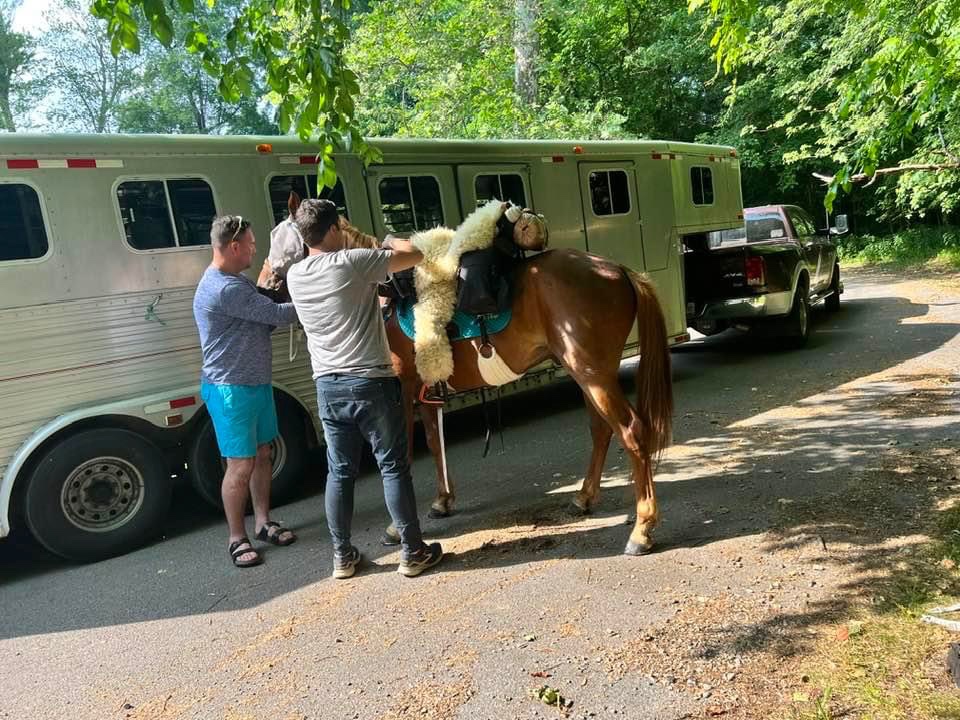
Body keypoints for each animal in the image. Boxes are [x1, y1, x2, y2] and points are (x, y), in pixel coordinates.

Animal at [259, 193, 673, 555]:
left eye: (282, 239)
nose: (264, 286)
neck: (385, 289)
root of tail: (616, 269)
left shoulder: (399, 389)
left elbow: (401, 454)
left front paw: (396, 528)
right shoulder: (426, 387)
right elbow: (433, 439)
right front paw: (443, 501)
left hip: (592, 373)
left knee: (632, 431)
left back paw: (642, 530)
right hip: (587, 372)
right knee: (601, 429)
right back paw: (585, 497)